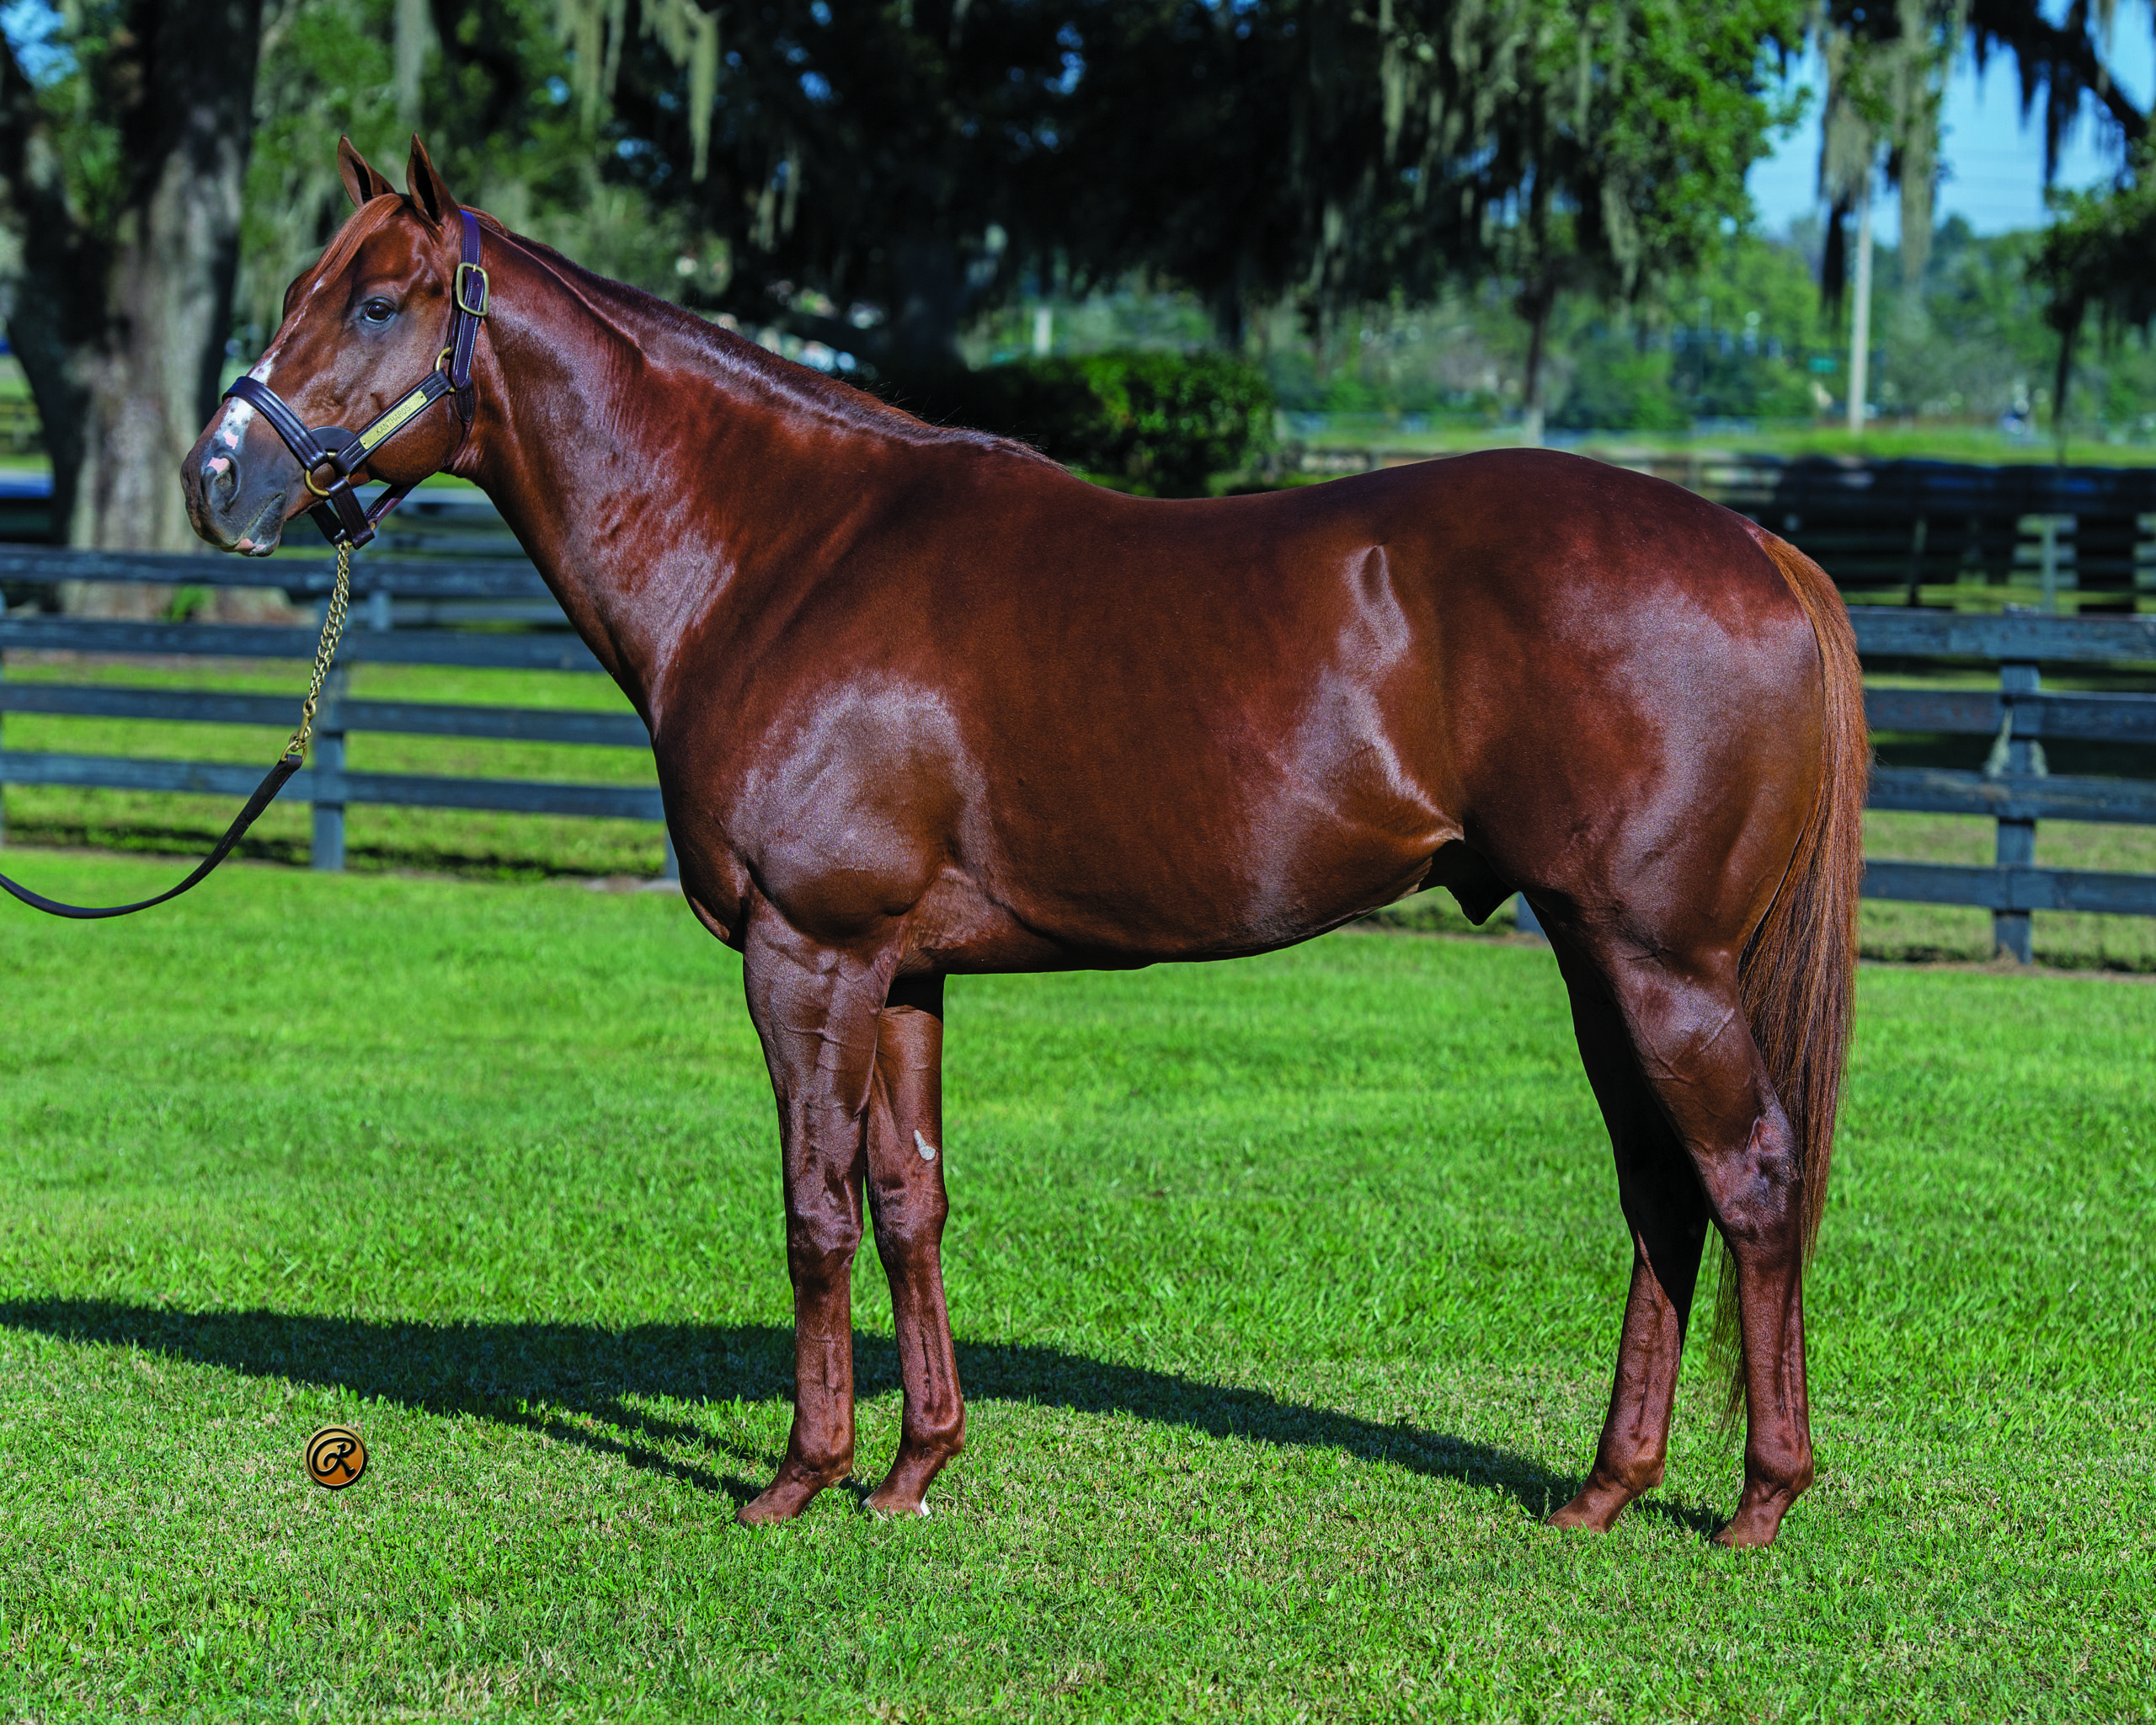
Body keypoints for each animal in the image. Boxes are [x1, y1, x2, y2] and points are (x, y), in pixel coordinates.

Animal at [183, 137, 1866, 1548]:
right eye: (299, 290)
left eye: (378, 301)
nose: (218, 478)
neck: (778, 554)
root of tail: (1758, 550)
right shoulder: (902, 970)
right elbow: (908, 1200)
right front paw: (914, 1466)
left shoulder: (809, 953)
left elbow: (813, 1210)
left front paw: (798, 1477)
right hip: (1597, 960)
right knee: (1663, 1197)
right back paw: (1606, 1489)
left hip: (1661, 965)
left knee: (1752, 1179)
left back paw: (1758, 1502)